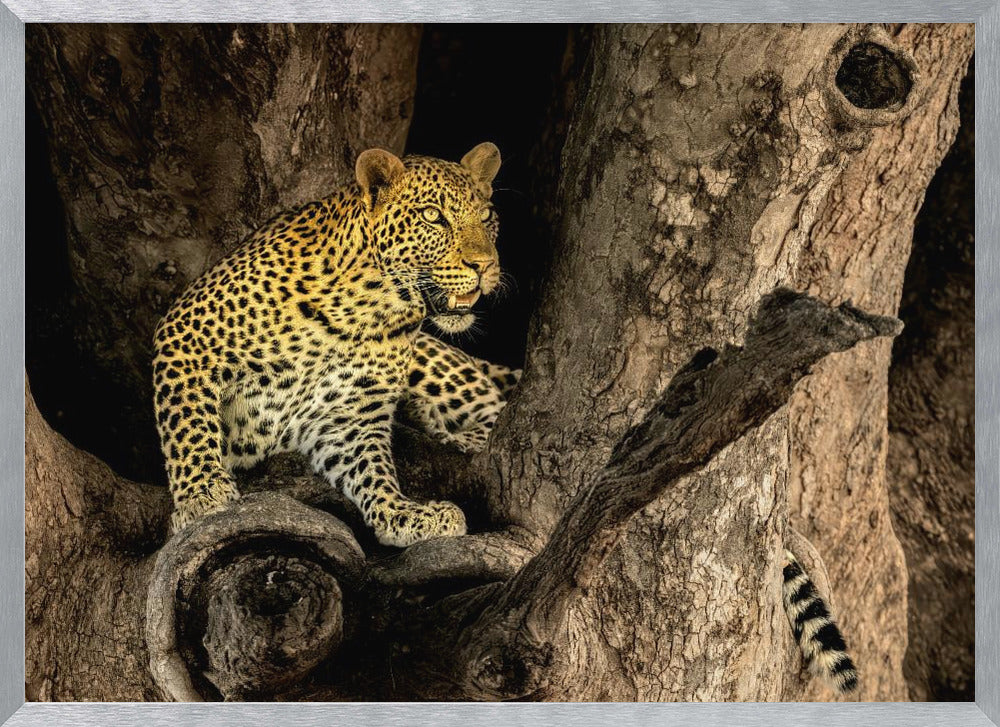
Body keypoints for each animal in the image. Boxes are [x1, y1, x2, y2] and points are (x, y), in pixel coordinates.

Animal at [152, 142, 520, 548]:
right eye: (432, 216)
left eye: (486, 216)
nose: (485, 265)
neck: (367, 307)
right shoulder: (187, 335)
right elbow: (188, 425)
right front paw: (201, 496)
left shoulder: (347, 415)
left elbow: (372, 468)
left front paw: (402, 513)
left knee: (493, 410)